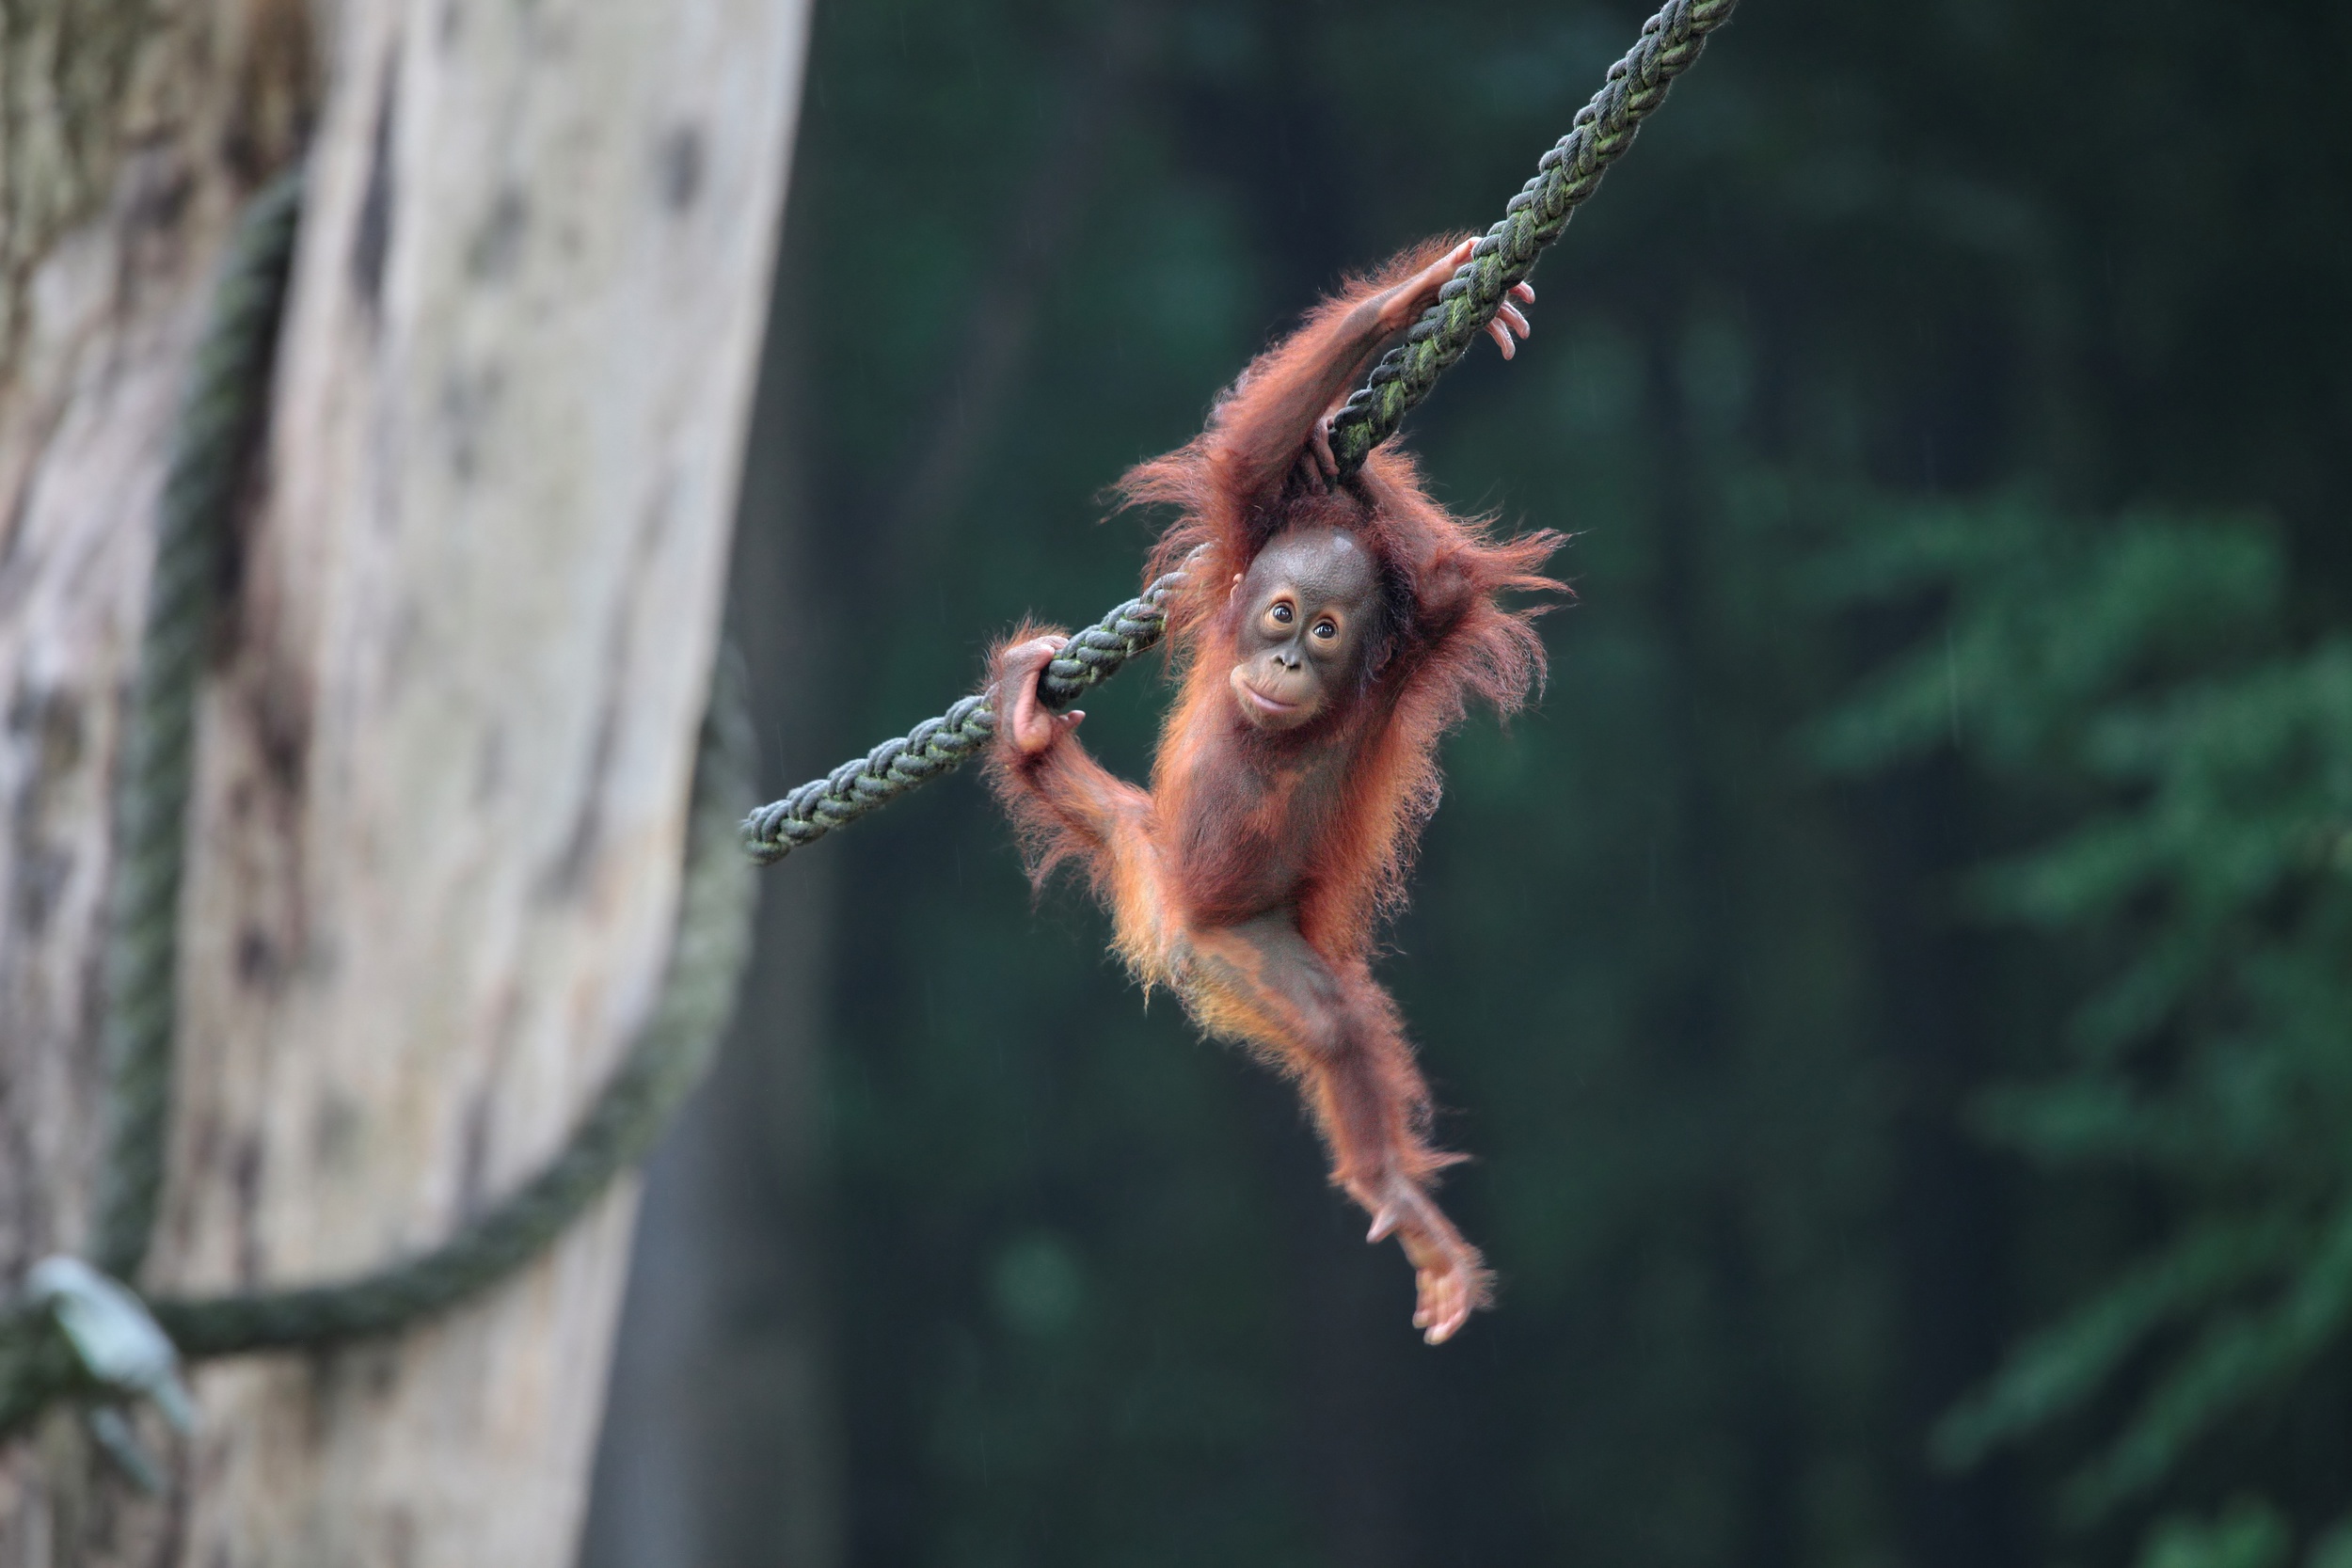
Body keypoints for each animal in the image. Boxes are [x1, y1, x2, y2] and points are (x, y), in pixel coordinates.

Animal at [988, 235, 1561, 1343]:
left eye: (1327, 632)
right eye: (1281, 613)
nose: (1288, 661)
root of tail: (1169, 915)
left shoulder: (1412, 647)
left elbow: (1444, 579)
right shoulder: (1244, 536)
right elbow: (1254, 460)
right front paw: (1410, 299)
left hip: (1231, 939)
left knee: (1332, 1025)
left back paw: (1396, 1197)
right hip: (1163, 866)